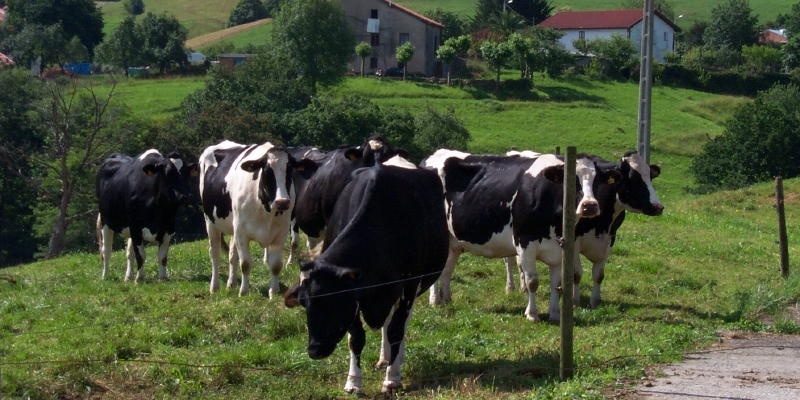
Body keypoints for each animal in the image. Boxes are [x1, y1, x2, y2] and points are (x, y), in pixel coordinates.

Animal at [95, 148, 198, 282]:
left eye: (187, 174)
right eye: (168, 173)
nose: (186, 197)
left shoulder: (169, 227)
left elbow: (162, 256)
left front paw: (163, 277)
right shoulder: (135, 227)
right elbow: (141, 255)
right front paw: (139, 278)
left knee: (129, 252)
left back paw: (128, 277)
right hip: (105, 220)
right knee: (106, 249)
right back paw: (105, 275)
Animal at [199, 141, 296, 296]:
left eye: (290, 171)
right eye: (267, 171)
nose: (282, 202)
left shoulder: (281, 232)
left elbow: (276, 265)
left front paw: (273, 291)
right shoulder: (241, 231)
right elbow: (245, 263)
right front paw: (244, 291)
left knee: (232, 254)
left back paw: (231, 283)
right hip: (210, 221)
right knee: (214, 253)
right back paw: (214, 287)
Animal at [286, 161, 450, 396]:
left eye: (335, 301)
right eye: (303, 303)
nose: (315, 350)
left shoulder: (408, 287)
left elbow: (396, 331)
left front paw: (391, 380)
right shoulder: (357, 296)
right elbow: (356, 338)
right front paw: (354, 381)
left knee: (399, 325)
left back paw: (396, 360)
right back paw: (384, 358)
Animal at [422, 149, 616, 322]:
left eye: (597, 181)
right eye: (571, 180)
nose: (590, 206)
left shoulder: (560, 248)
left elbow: (556, 284)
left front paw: (554, 314)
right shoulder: (525, 244)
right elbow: (532, 282)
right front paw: (532, 314)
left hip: (454, 242)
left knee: (447, 269)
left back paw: (446, 299)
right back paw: (435, 300)